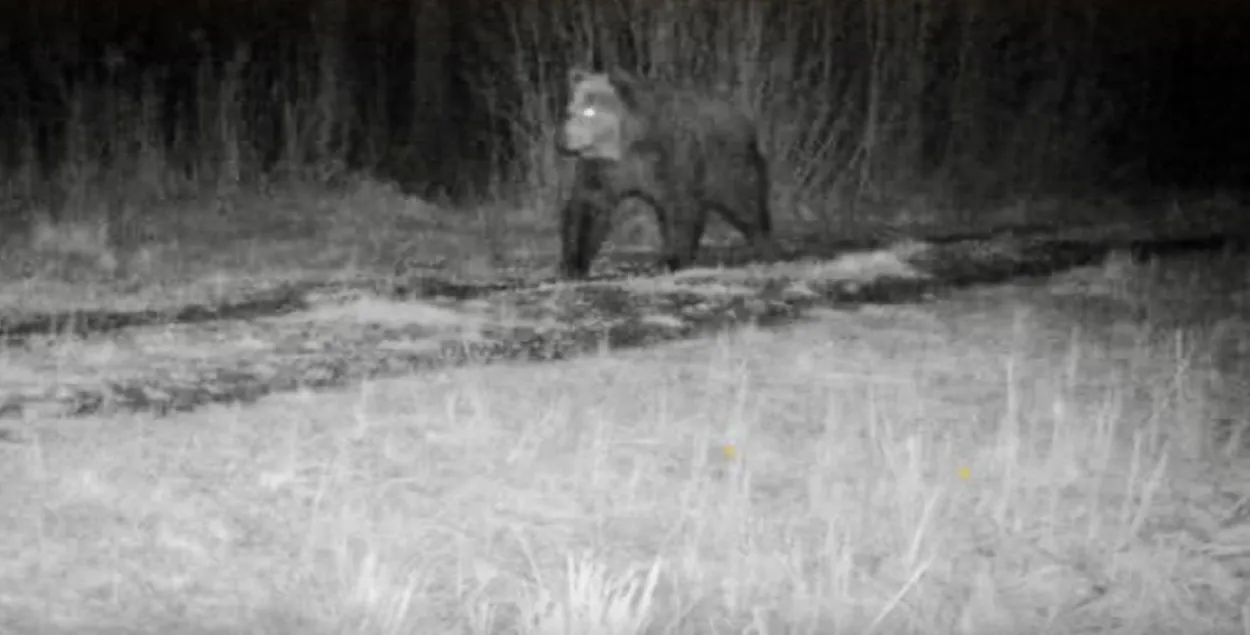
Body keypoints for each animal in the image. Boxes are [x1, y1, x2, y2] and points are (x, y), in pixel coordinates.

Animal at [553, 67, 777, 279]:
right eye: (570, 110)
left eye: (589, 110)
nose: (563, 140)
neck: (626, 144)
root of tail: (743, 117)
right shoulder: (603, 169)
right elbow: (587, 207)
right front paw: (573, 265)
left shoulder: (669, 157)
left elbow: (679, 210)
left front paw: (674, 261)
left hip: (727, 166)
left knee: (747, 203)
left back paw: (765, 247)